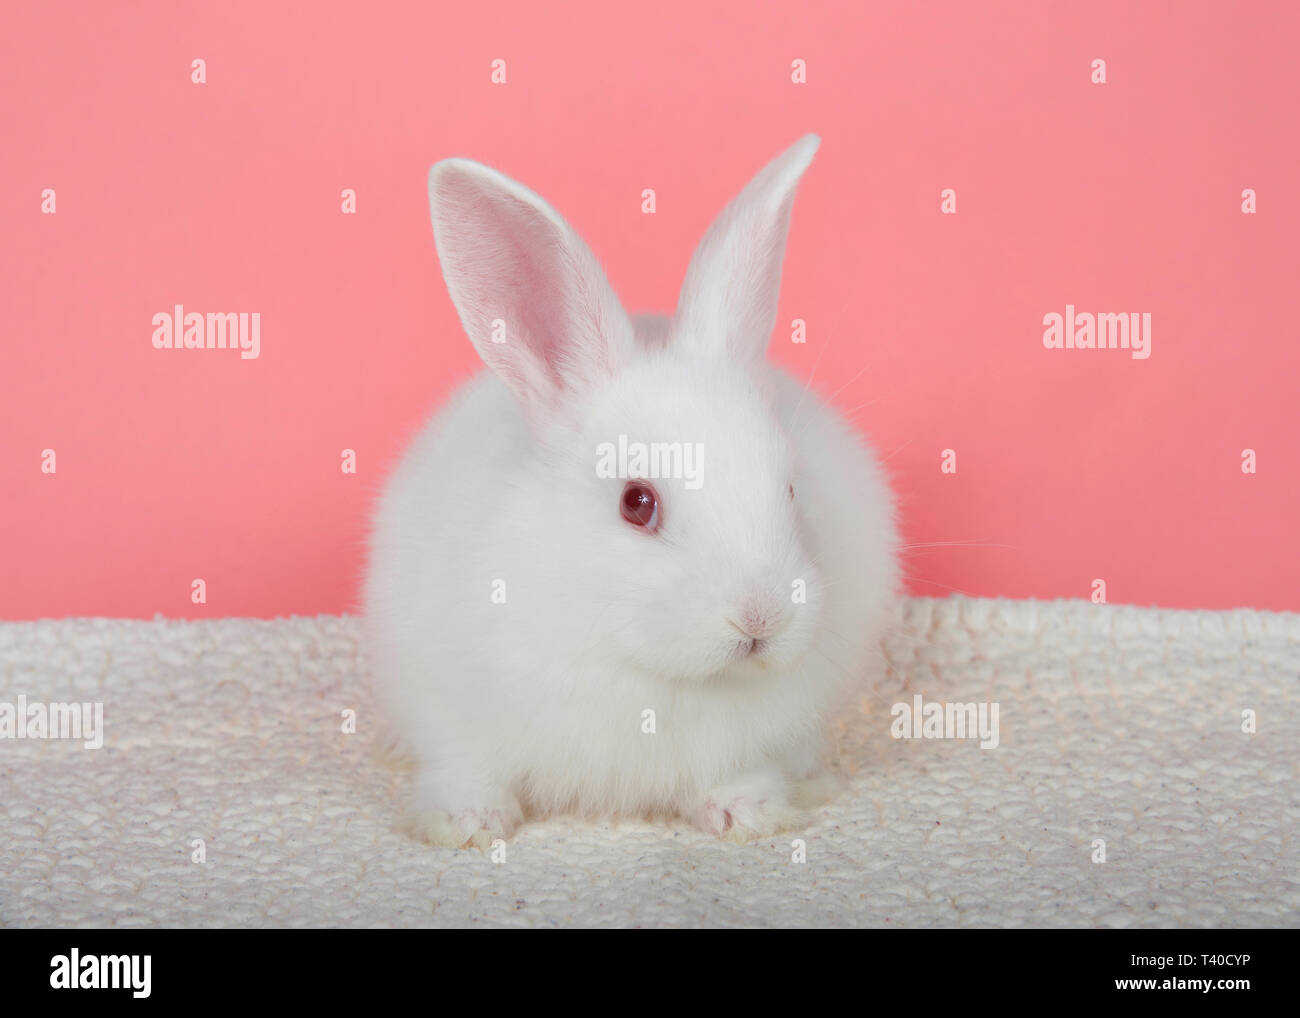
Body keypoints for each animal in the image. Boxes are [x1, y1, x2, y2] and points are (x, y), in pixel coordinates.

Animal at [364, 134, 899, 848]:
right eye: (636, 503)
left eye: (789, 487)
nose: (762, 619)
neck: (648, 669)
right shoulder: (451, 708)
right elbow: (467, 768)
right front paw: (466, 825)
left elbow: (739, 773)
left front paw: (750, 814)